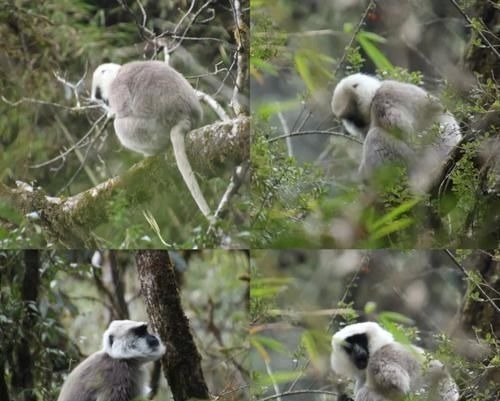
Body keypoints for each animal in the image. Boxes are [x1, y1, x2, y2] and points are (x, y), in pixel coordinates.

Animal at [92, 61, 213, 220]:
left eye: (102, 98)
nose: (105, 104)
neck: (118, 72)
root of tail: (186, 118)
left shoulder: (118, 86)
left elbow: (123, 110)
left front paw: (112, 113)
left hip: (155, 130)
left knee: (120, 125)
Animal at [332, 74, 460, 192]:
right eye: (350, 119)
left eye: (353, 117)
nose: (356, 124)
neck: (375, 92)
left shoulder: (382, 101)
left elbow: (410, 139)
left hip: (411, 164)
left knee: (375, 136)